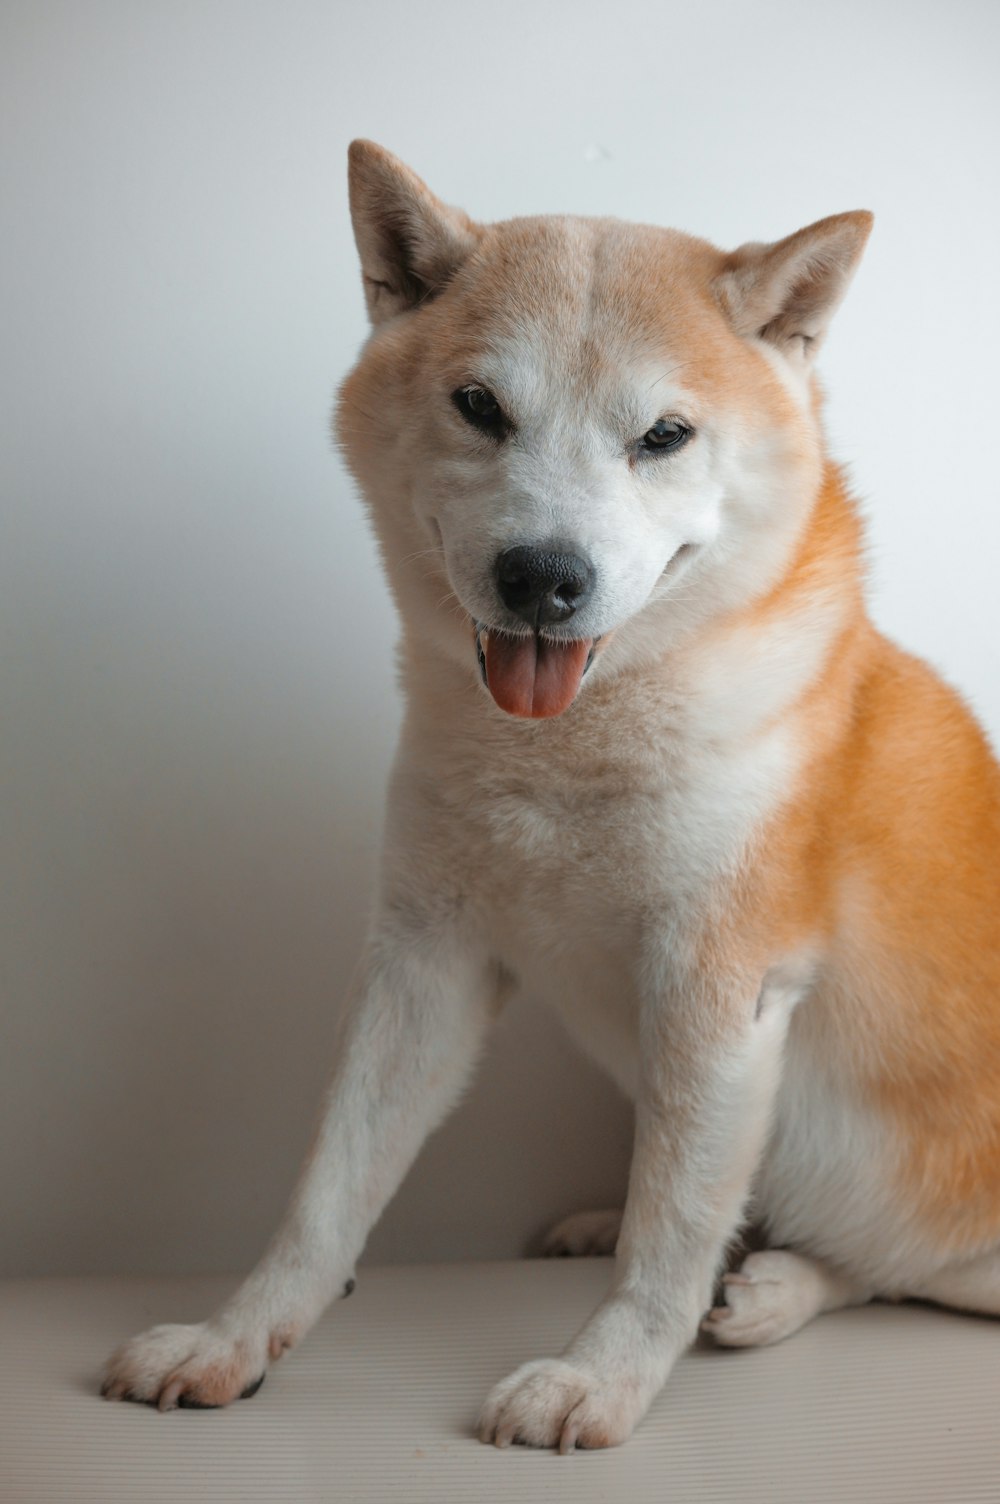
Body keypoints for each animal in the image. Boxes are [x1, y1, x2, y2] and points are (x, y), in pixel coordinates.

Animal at [101, 146, 998, 1449]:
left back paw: (775, 1284)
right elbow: (326, 1194)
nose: (541, 576)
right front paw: (236, 1337)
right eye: (481, 407)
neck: (562, 754)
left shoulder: (718, 987)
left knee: (887, 1267)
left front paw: (604, 1374)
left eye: (664, 434)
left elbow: (669, 1226)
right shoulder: (424, 959)